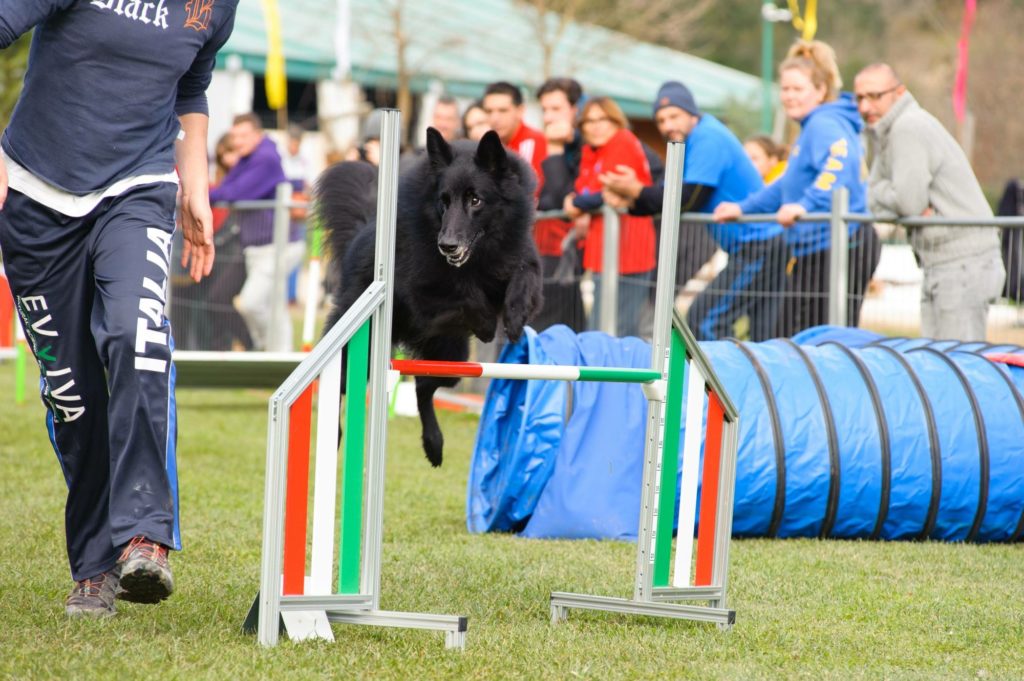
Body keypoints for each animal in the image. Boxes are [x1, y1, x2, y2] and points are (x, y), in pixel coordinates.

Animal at [317, 127, 544, 466]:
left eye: (475, 200)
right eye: (443, 201)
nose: (447, 244)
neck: (479, 257)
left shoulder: (517, 257)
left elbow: (524, 276)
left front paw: (515, 317)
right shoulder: (423, 298)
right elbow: (466, 294)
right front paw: (487, 325)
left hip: (451, 358)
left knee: (424, 385)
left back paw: (434, 444)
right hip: (361, 351)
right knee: (338, 387)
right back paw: (336, 435)